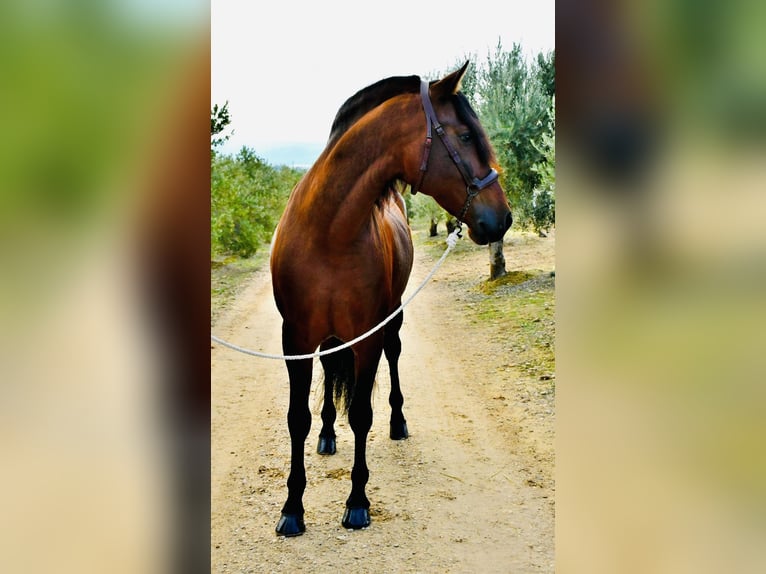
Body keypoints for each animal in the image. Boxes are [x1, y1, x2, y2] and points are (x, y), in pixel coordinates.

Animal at [269, 62, 512, 536]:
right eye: (465, 136)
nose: (503, 218)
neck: (327, 232)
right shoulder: (296, 340)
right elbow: (297, 418)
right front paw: (292, 508)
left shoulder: (367, 336)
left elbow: (362, 414)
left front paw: (357, 503)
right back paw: (327, 435)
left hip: (392, 319)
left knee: (394, 359)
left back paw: (397, 422)